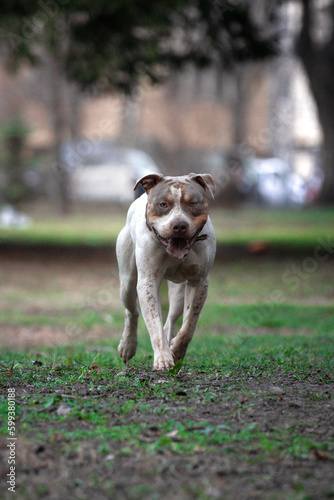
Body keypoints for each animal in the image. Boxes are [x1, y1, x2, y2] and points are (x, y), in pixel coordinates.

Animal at [117, 173, 217, 372]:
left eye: (193, 203)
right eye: (163, 204)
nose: (179, 225)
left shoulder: (199, 281)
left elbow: (189, 323)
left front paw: (176, 350)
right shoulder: (147, 282)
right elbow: (154, 323)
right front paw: (163, 359)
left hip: (179, 291)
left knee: (172, 317)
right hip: (127, 283)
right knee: (132, 312)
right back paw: (127, 345)